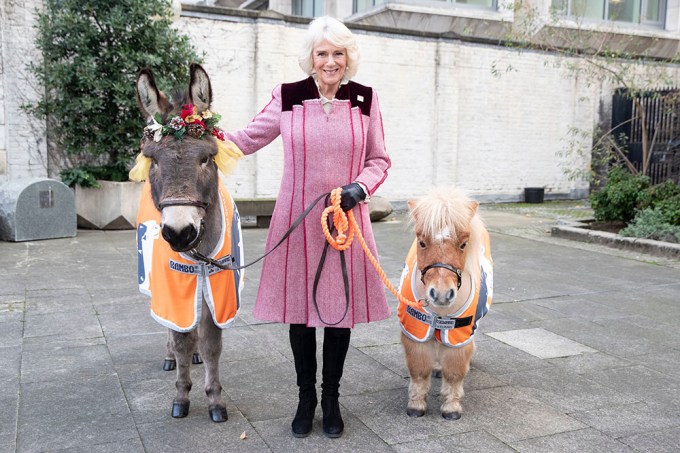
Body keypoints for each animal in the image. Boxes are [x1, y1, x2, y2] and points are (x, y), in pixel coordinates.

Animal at [131, 62, 243, 420]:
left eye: (206, 158)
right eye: (153, 159)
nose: (179, 233)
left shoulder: (218, 286)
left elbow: (211, 343)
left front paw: (215, 398)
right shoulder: (173, 284)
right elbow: (180, 337)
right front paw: (181, 396)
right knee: (171, 329)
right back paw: (171, 357)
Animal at [396, 186, 492, 416]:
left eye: (463, 244)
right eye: (422, 242)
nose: (441, 294)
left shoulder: (459, 334)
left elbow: (455, 371)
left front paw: (451, 407)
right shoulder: (416, 331)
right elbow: (419, 370)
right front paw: (416, 405)